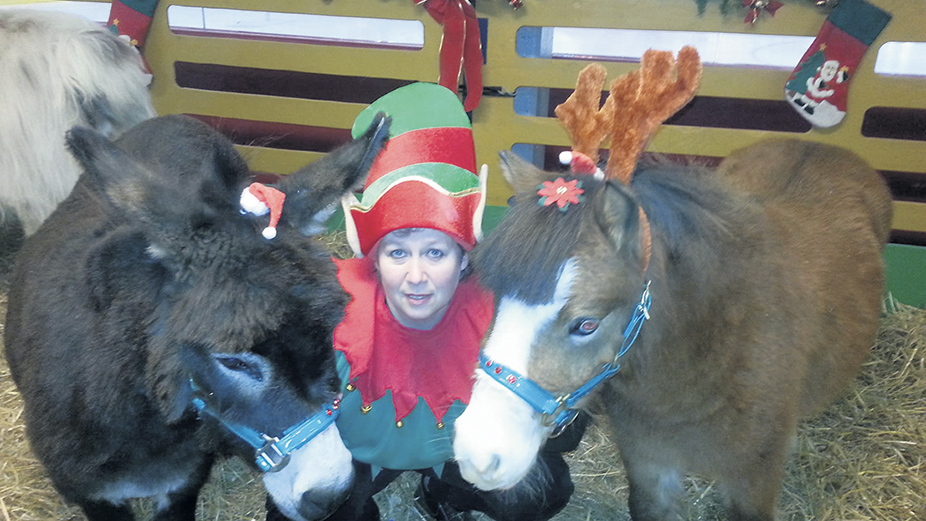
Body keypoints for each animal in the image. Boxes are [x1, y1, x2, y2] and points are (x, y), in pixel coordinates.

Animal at [454, 49, 896, 520]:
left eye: (586, 324)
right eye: (499, 298)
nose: (478, 456)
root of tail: (824, 145)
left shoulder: (753, 483)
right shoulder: (649, 466)